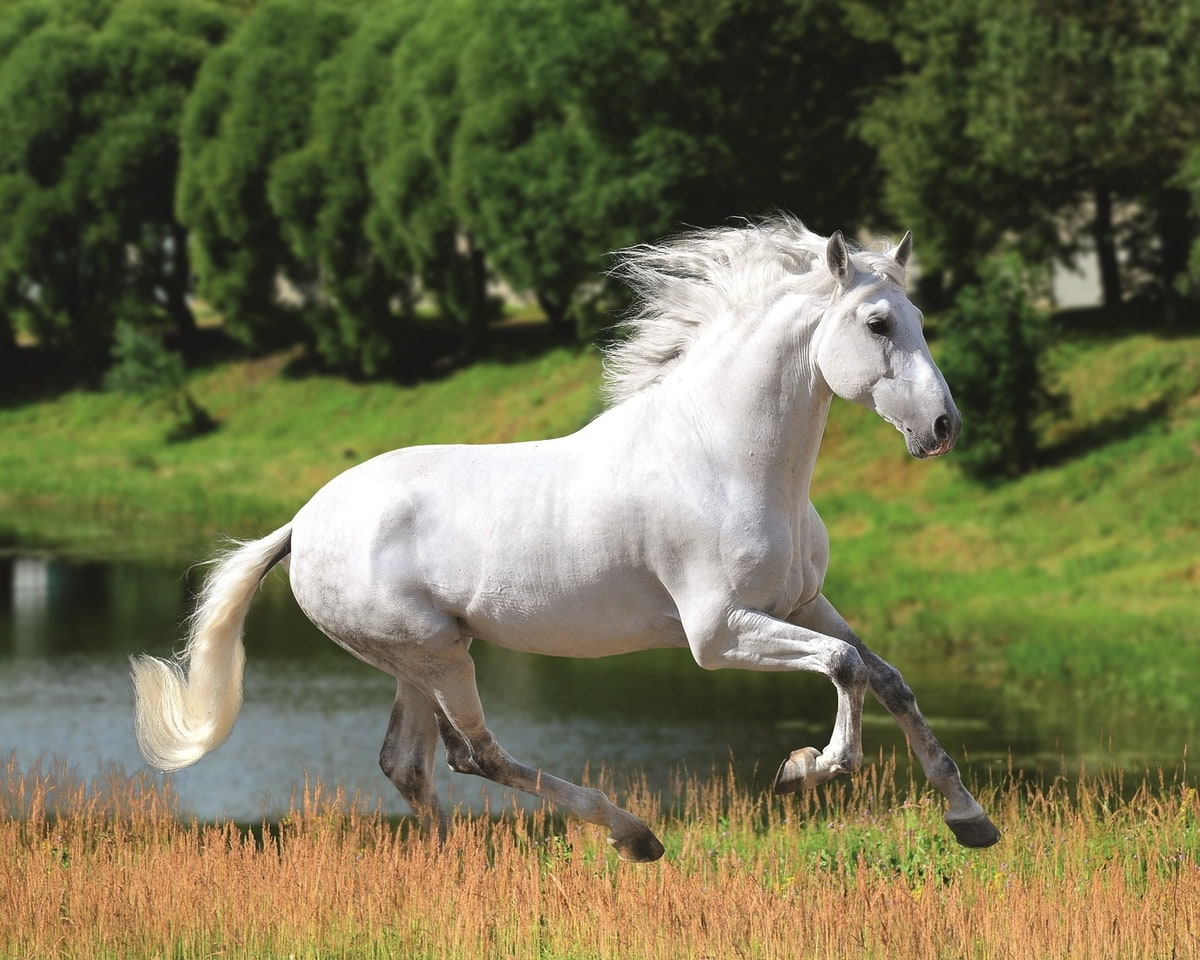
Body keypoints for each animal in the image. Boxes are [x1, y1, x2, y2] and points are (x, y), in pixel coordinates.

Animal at [131, 215, 1000, 861]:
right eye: (878, 322)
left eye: (921, 320)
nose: (943, 427)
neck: (724, 458)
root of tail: (302, 524)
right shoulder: (718, 634)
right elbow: (846, 669)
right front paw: (806, 769)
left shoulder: (803, 603)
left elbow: (887, 677)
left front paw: (970, 820)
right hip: (435, 653)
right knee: (474, 753)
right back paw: (633, 835)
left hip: (417, 657)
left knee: (410, 762)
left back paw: (458, 868)